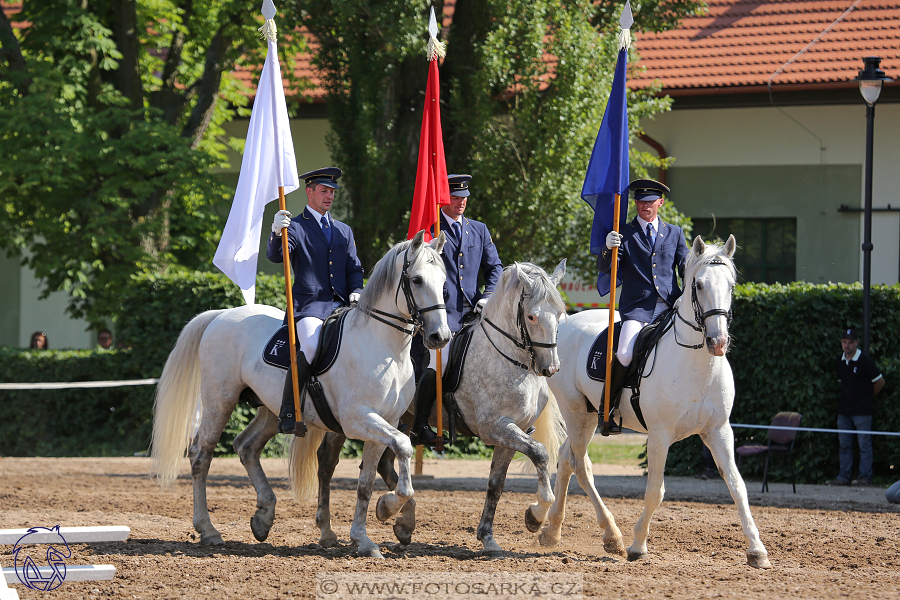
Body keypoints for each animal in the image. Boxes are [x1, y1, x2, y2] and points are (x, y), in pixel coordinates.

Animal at [155, 231, 454, 556]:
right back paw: (209, 530)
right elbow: (403, 446)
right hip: (219, 401)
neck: (384, 346)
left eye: (443, 282)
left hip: (271, 409)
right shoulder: (358, 420)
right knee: (202, 455)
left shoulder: (385, 423)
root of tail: (222, 314)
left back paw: (263, 517)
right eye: (417, 280)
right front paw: (387, 508)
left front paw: (363, 539)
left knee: (246, 446)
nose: (440, 337)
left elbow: (366, 483)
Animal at [316, 260, 568, 556]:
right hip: (347, 417)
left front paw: (488, 537)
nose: (550, 368)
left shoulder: (512, 432)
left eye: (560, 315)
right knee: (327, 461)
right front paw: (536, 515)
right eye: (531, 317)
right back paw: (329, 531)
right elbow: (539, 453)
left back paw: (401, 519)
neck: (506, 357)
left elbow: (496, 484)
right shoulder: (495, 427)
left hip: (395, 418)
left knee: (385, 462)